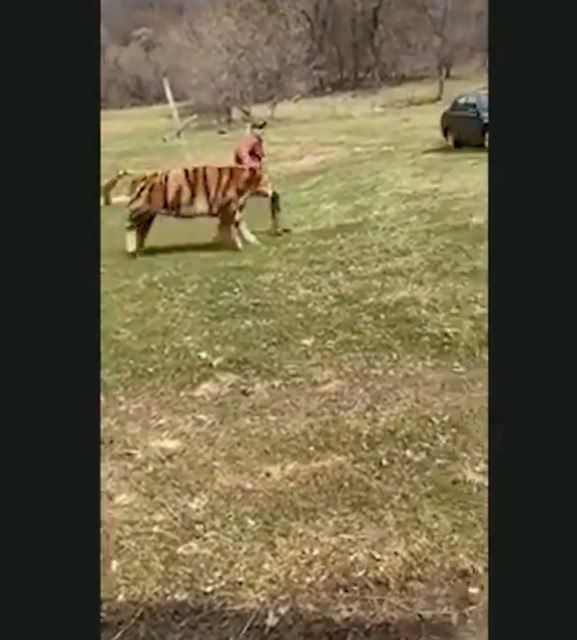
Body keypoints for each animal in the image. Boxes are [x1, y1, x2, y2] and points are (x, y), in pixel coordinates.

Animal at [122, 164, 286, 256]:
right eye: (266, 180)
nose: (275, 191)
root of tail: (138, 178)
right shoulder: (229, 207)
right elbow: (233, 227)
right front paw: (237, 245)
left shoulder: (231, 209)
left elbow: (237, 226)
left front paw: (252, 241)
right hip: (141, 210)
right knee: (130, 226)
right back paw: (131, 250)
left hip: (149, 215)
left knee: (141, 230)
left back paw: (141, 249)